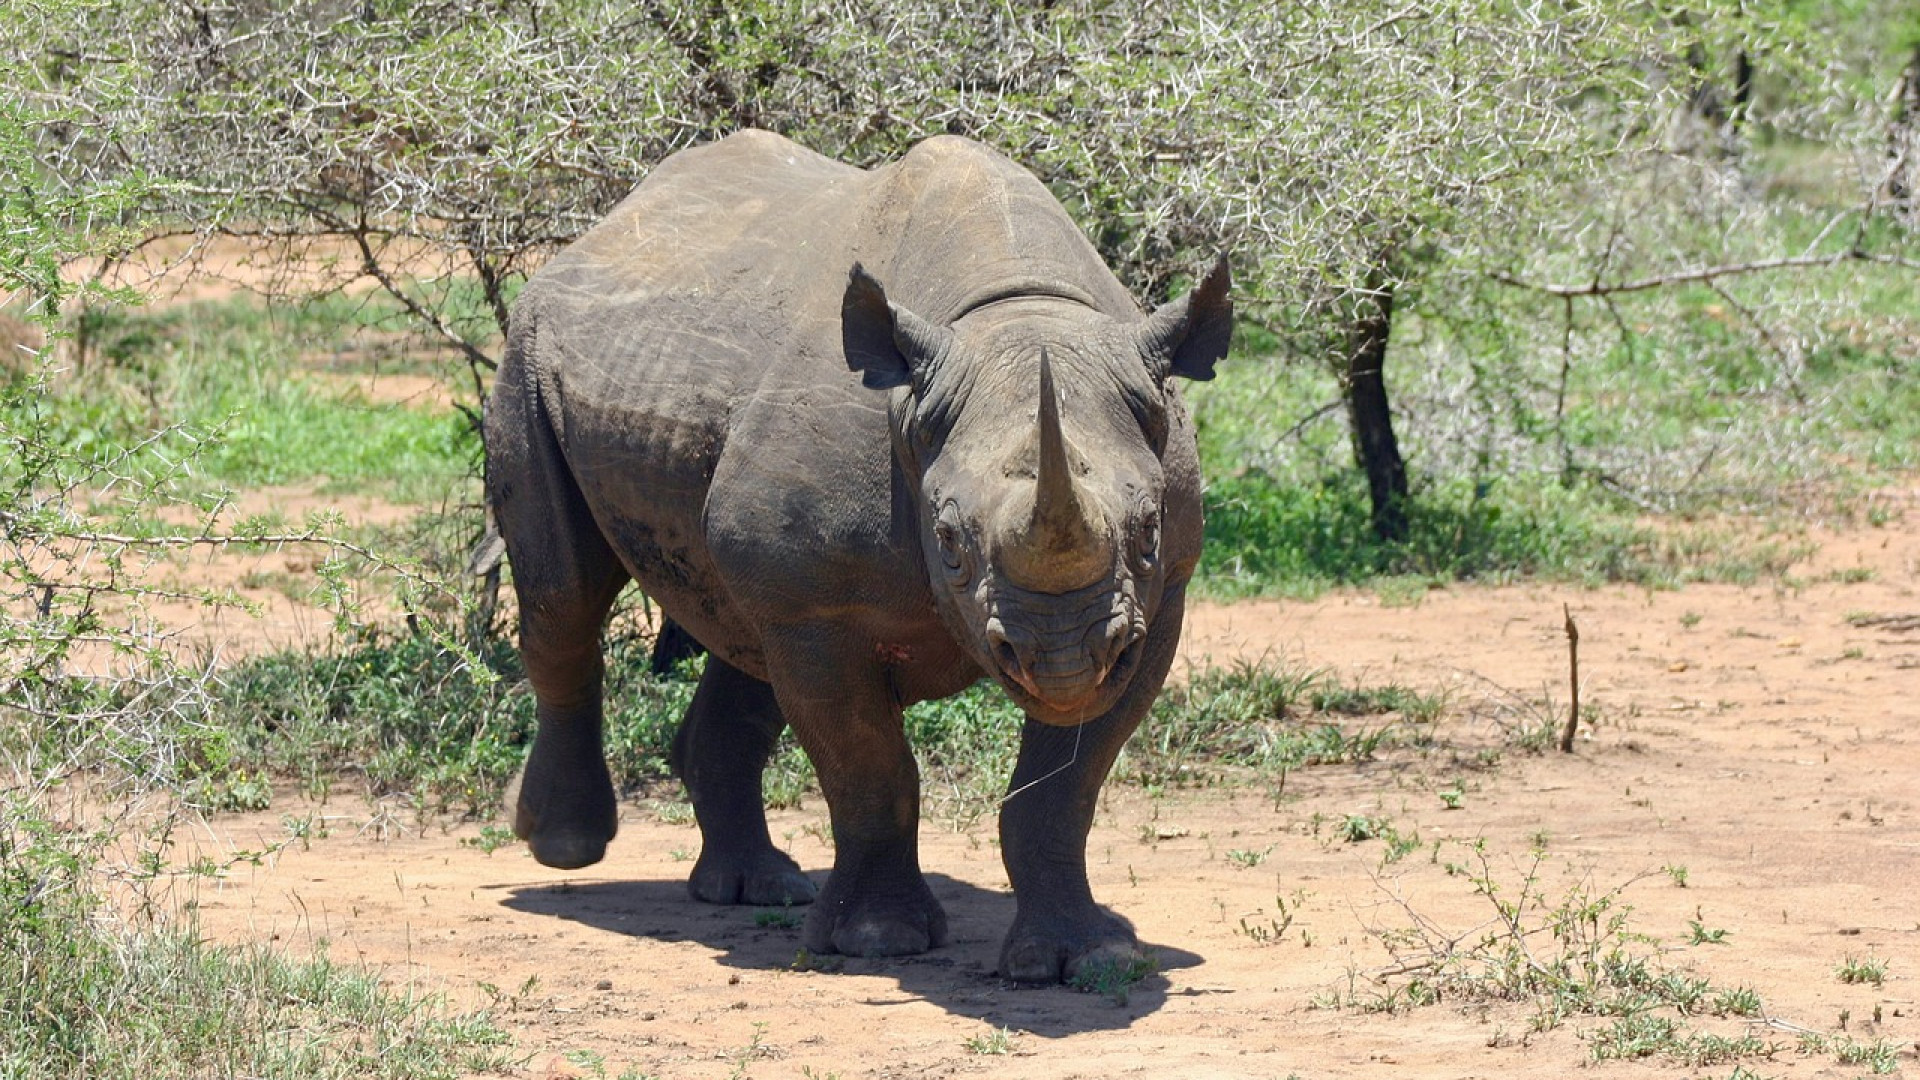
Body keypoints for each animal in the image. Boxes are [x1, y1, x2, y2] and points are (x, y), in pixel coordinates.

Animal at [483, 130, 1228, 980]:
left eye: (1148, 530)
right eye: (949, 540)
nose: (1062, 657)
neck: (1015, 317)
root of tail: (600, 232)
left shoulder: (1156, 602)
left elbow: (1061, 792)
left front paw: (1089, 956)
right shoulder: (820, 608)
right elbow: (869, 768)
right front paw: (879, 942)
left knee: (741, 639)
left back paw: (758, 890)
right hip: (528, 353)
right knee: (565, 597)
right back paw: (565, 847)